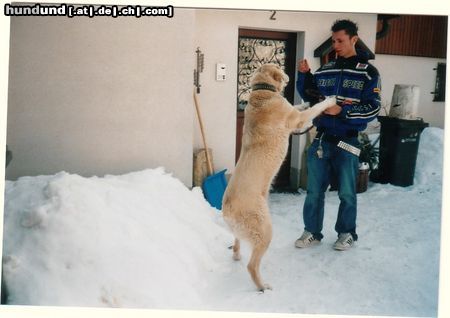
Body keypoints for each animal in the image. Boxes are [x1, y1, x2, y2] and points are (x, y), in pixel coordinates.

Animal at [220, 63, 336, 292]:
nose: (290, 75)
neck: (262, 90)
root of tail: (227, 209)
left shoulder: (293, 112)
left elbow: (300, 106)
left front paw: (306, 100)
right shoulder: (297, 121)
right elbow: (312, 111)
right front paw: (329, 101)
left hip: (244, 231)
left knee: (237, 244)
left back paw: (237, 255)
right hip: (265, 231)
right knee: (252, 265)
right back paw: (262, 286)